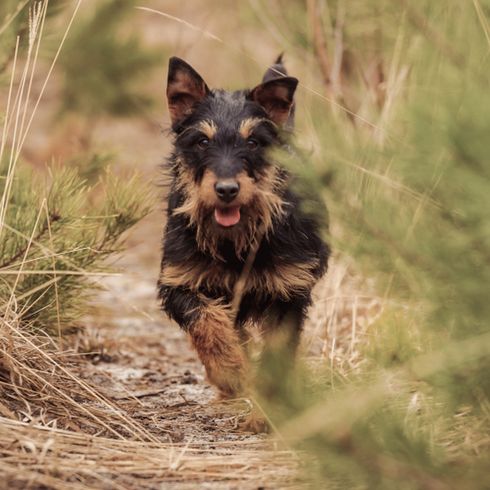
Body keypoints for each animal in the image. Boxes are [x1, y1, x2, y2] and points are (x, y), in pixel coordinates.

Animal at [159, 53, 332, 406]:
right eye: (202, 141)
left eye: (253, 142)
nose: (226, 190)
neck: (233, 241)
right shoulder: (179, 283)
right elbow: (208, 323)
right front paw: (228, 371)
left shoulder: (288, 291)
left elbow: (276, 347)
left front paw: (271, 392)